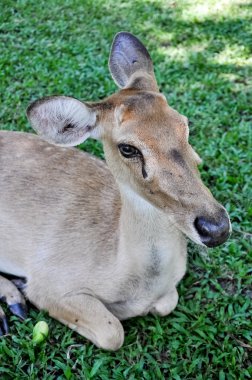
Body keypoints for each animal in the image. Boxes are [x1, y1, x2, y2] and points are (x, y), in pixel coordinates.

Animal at [0, 32, 231, 350]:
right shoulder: (50, 282)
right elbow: (113, 332)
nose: (216, 227)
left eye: (185, 125)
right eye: (128, 148)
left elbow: (167, 303)